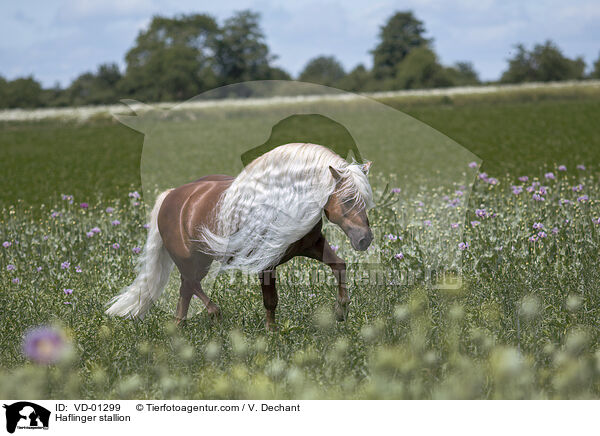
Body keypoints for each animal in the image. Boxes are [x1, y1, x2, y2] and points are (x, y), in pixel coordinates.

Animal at [105, 144, 372, 330]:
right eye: (348, 200)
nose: (364, 239)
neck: (285, 203)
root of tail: (170, 196)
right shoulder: (266, 263)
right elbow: (271, 301)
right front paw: (272, 334)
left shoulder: (312, 246)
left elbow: (339, 266)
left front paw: (341, 311)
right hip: (192, 259)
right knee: (191, 284)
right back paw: (214, 315)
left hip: (200, 260)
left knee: (186, 289)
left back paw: (179, 326)